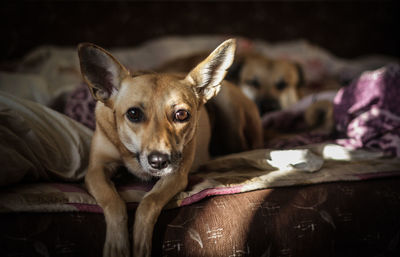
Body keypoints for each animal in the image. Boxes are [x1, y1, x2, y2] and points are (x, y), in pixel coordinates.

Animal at [79, 38, 264, 256]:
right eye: (133, 114)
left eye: (182, 114)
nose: (159, 161)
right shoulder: (95, 171)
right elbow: (114, 202)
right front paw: (117, 244)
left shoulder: (176, 175)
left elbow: (148, 202)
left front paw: (140, 243)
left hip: (230, 111)